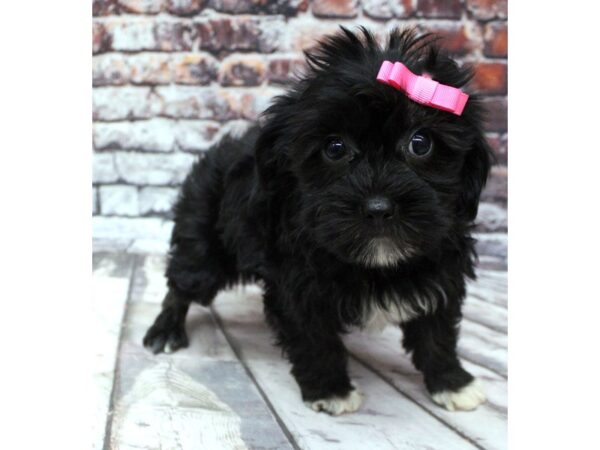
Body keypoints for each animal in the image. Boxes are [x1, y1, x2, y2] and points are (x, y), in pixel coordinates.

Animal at [143, 27, 490, 414]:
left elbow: (436, 331)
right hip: (204, 242)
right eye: (335, 148)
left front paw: (452, 382)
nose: (379, 206)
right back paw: (165, 330)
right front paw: (330, 390)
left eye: (420, 143)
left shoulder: (441, 266)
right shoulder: (297, 283)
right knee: (182, 283)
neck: (377, 265)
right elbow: (314, 338)